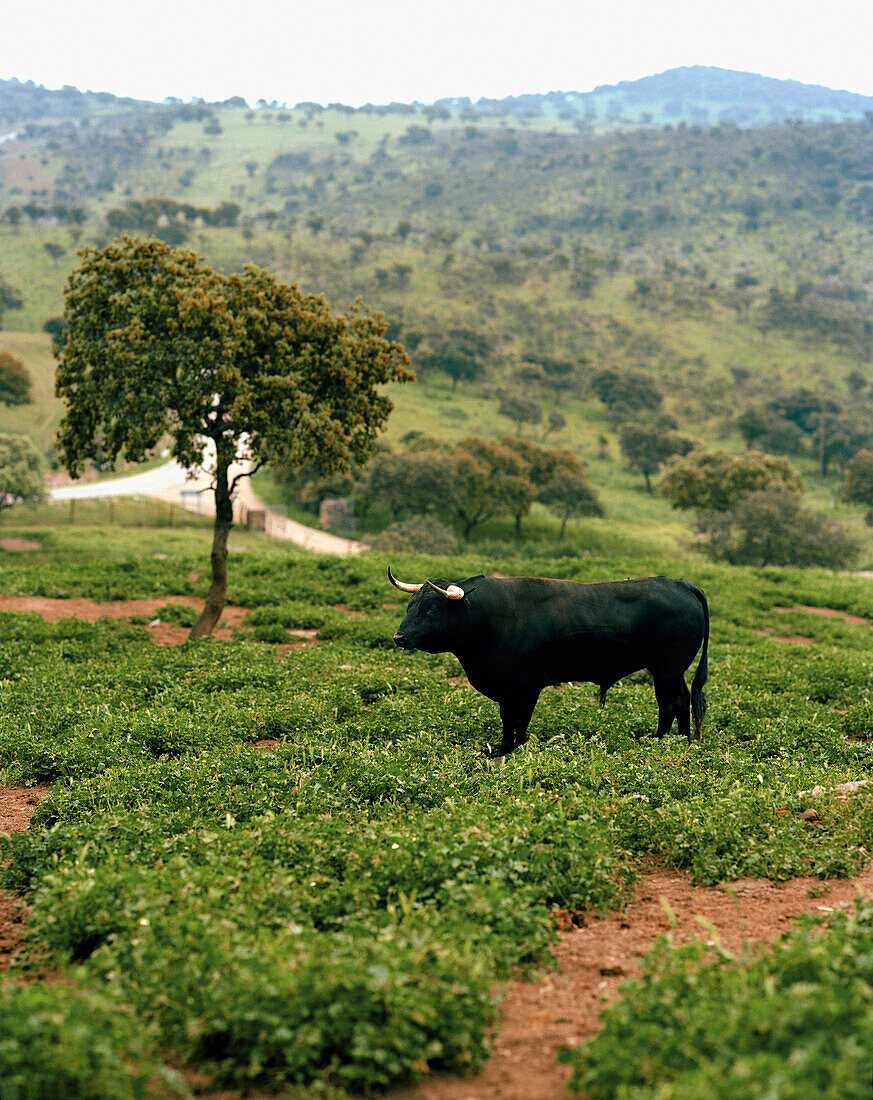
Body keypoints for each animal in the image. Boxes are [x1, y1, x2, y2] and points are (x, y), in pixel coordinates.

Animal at [389, 567, 708, 756]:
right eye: (409, 606)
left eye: (431, 608)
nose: (399, 637)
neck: (491, 616)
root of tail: (680, 583)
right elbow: (510, 719)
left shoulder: (525, 685)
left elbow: (517, 720)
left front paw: (507, 750)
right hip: (671, 671)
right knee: (682, 702)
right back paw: (682, 741)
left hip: (666, 670)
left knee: (670, 704)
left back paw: (660, 742)